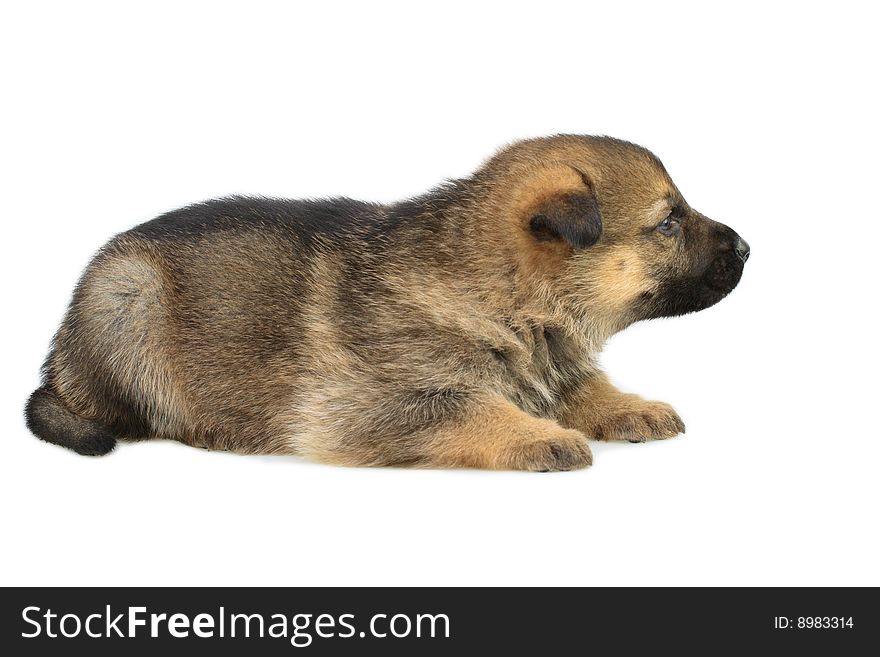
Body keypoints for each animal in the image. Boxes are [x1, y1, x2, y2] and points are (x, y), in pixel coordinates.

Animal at [24, 136, 744, 468]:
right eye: (669, 222)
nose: (748, 247)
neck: (503, 298)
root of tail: (56, 366)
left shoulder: (555, 361)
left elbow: (584, 386)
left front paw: (629, 406)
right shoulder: (370, 406)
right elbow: (468, 406)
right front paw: (537, 434)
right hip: (129, 298)